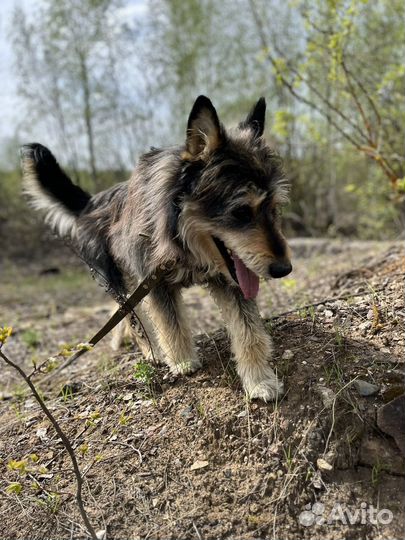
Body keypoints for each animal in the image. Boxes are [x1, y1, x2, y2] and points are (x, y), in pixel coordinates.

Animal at [20, 96, 290, 400]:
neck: (183, 240)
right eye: (241, 212)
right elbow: (171, 324)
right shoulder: (155, 282)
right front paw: (183, 361)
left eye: (274, 208)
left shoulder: (232, 280)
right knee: (132, 318)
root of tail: (91, 202)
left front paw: (260, 380)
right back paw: (150, 351)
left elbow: (249, 330)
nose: (284, 269)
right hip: (115, 279)